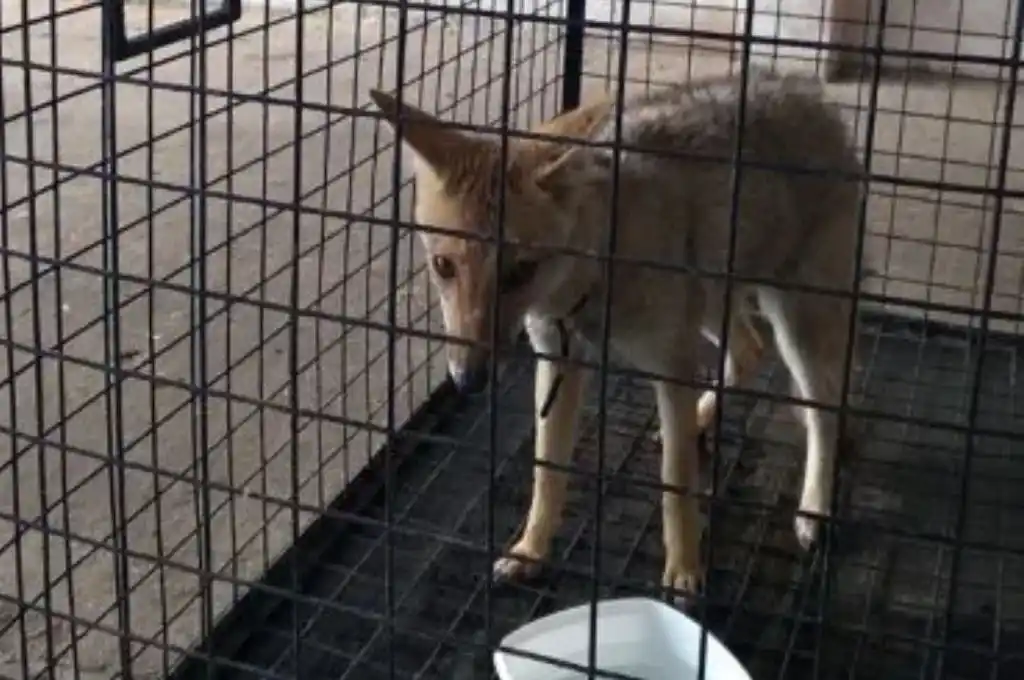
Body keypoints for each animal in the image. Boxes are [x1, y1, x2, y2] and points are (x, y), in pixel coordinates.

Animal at [368, 68, 864, 602]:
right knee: (749, 350)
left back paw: (813, 508)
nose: (468, 381)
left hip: (797, 326)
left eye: (520, 271)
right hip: (712, 308)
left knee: (822, 411)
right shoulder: (559, 360)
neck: (589, 288)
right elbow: (547, 471)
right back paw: (702, 417)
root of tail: (807, 90)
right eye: (443, 266)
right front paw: (530, 550)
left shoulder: (670, 364)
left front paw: (685, 569)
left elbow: (676, 483)